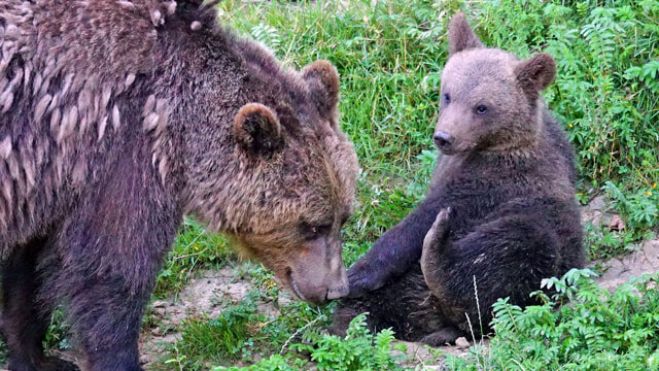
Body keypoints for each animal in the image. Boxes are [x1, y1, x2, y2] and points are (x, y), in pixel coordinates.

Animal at [1, 1, 360, 370]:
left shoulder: (48, 179)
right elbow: (110, 270)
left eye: (343, 217)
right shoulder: (118, 152)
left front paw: (35, 356)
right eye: (311, 226)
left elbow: (25, 273)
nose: (335, 290)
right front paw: (115, 355)